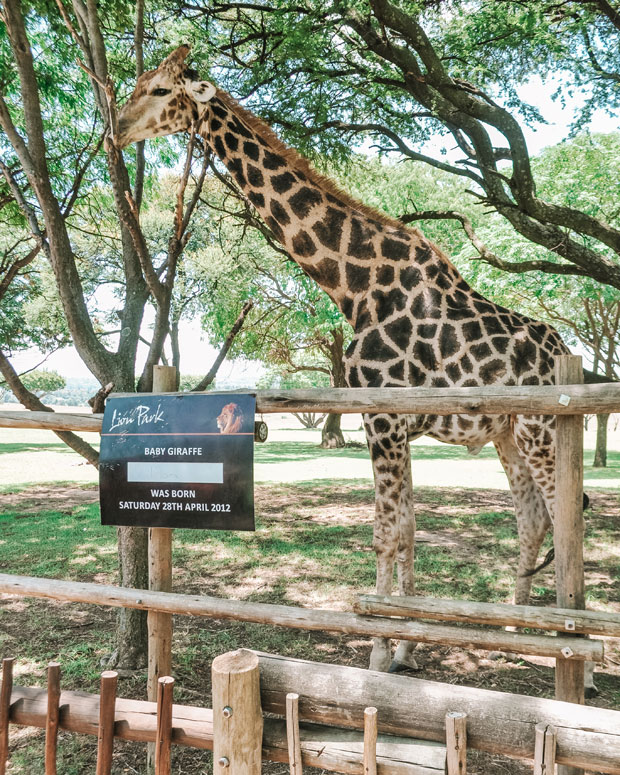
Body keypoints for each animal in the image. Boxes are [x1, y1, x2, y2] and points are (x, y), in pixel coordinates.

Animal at [115, 47, 592, 692]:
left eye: (161, 89)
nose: (116, 129)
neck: (355, 286)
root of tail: (569, 354)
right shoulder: (393, 424)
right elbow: (407, 528)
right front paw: (409, 647)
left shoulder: (382, 420)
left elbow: (386, 532)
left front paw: (378, 655)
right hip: (508, 435)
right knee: (534, 516)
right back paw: (516, 625)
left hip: (542, 433)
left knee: (569, 518)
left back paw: (579, 669)